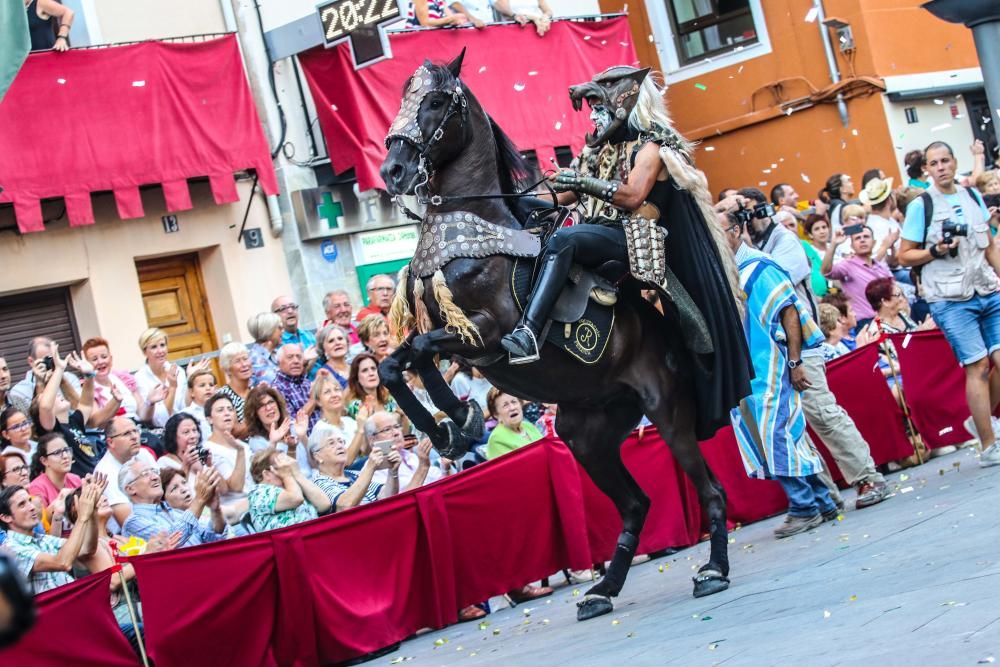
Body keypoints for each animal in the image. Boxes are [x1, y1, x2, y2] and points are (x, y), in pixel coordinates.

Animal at [378, 52, 732, 620]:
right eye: (402, 98)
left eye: (433, 101)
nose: (393, 170)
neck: (476, 226)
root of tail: (675, 338)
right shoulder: (451, 337)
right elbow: (394, 364)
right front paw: (449, 429)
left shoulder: (486, 336)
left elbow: (428, 354)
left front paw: (458, 417)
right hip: (585, 433)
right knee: (636, 505)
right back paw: (602, 589)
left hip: (667, 412)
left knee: (710, 490)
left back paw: (713, 572)